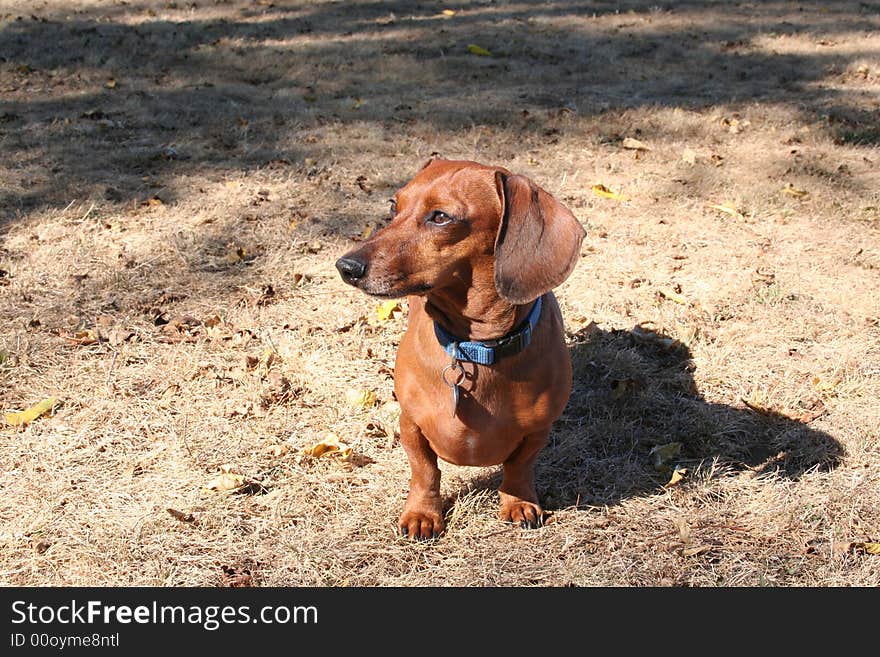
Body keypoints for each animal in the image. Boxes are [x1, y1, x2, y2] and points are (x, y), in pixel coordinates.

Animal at [336, 159, 584, 540]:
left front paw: (518, 501)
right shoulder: (410, 423)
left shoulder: (538, 430)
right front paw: (422, 513)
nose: (346, 267)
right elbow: (425, 471)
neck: (475, 348)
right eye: (394, 206)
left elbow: (520, 466)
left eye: (440, 217)